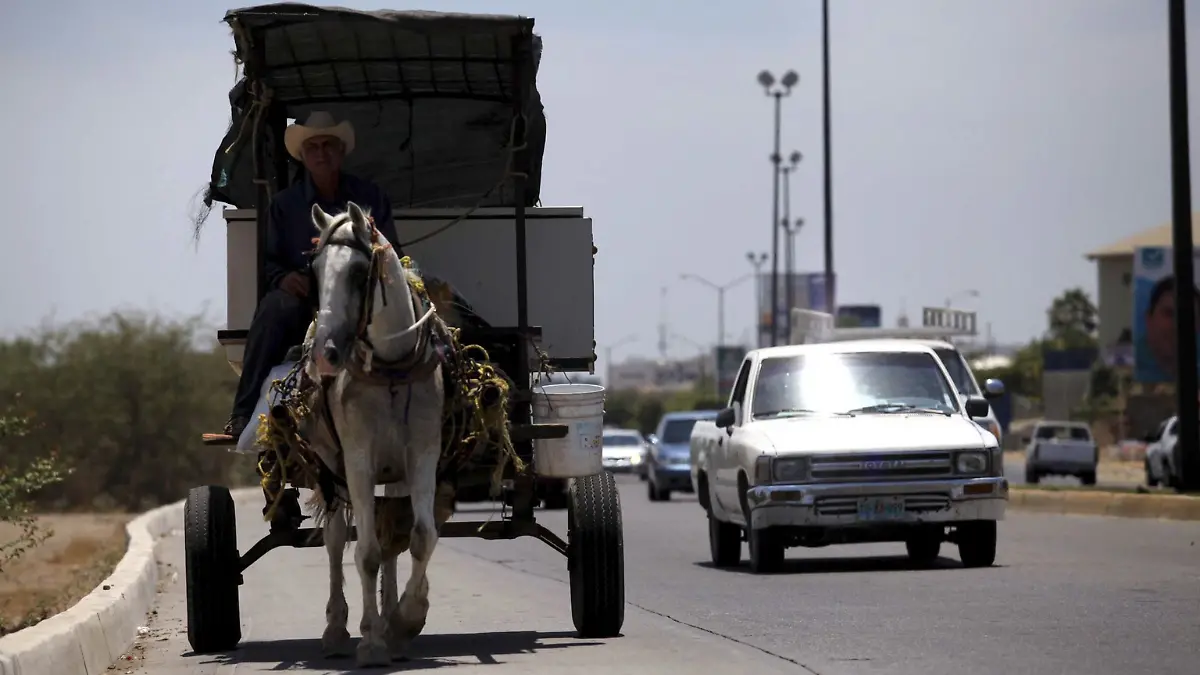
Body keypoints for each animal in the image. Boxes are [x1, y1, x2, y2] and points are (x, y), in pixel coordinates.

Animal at [302, 198, 448, 662]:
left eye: (356, 272)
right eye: (315, 270)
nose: (324, 354)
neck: (392, 369)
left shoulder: (422, 456)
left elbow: (420, 537)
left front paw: (405, 619)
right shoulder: (358, 463)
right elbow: (363, 552)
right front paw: (369, 638)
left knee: (392, 540)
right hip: (331, 472)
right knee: (335, 540)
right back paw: (336, 628)